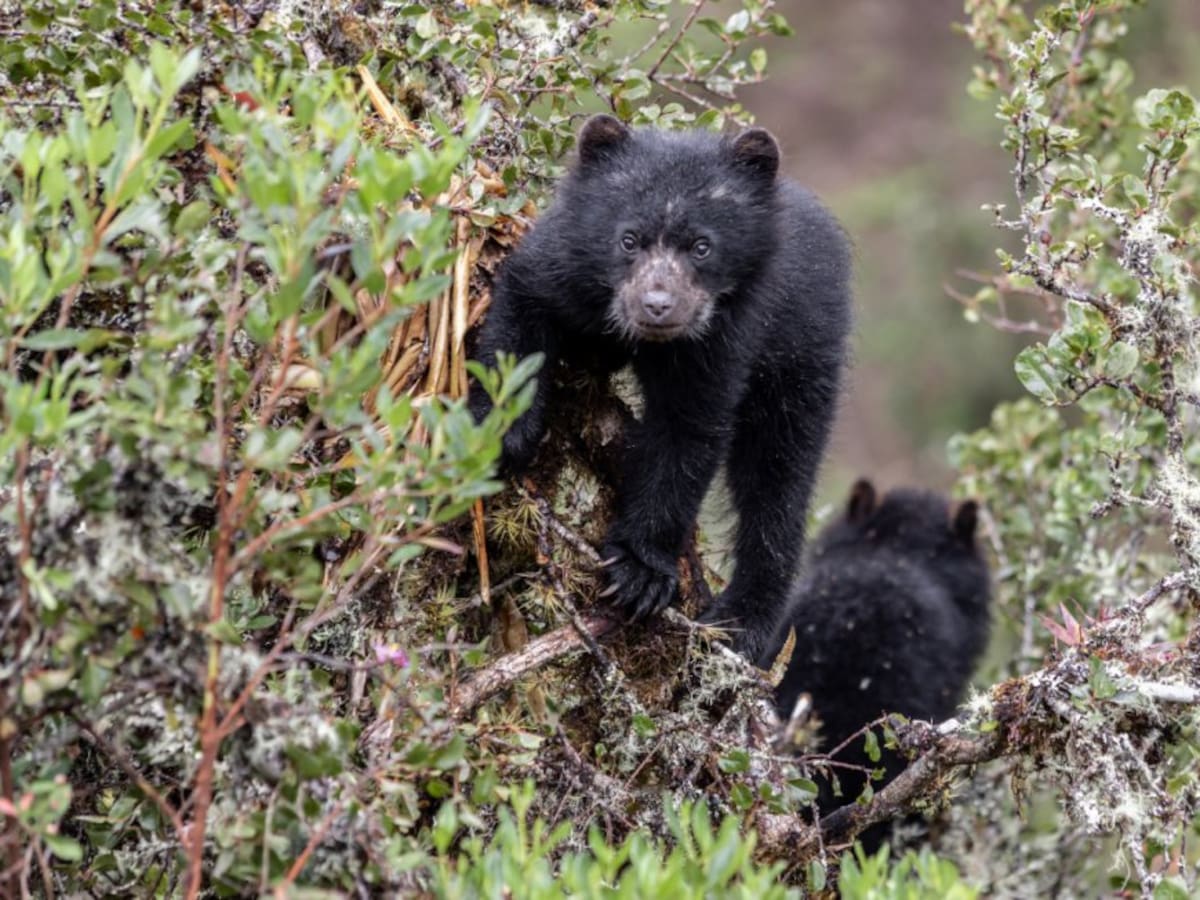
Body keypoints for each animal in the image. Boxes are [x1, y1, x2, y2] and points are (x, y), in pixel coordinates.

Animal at [469, 114, 852, 662]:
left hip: (802, 354)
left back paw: (743, 623)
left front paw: (639, 574)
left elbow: (687, 432)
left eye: (701, 245)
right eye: (629, 239)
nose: (657, 305)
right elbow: (520, 312)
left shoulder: (724, 338)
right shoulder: (564, 264)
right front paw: (502, 432)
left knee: (778, 478)